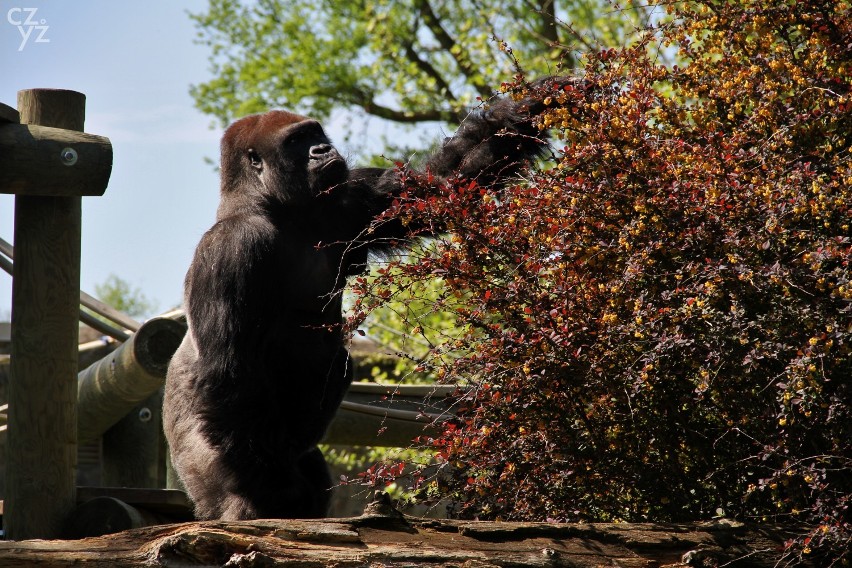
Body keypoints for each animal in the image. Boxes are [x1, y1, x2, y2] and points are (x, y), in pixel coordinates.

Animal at [165, 79, 564, 520]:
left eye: (315, 134)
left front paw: (533, 105)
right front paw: (272, 491)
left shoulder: (346, 198)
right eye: (296, 141)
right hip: (204, 470)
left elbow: (439, 183)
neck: (273, 207)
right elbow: (227, 372)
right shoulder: (231, 248)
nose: (323, 149)